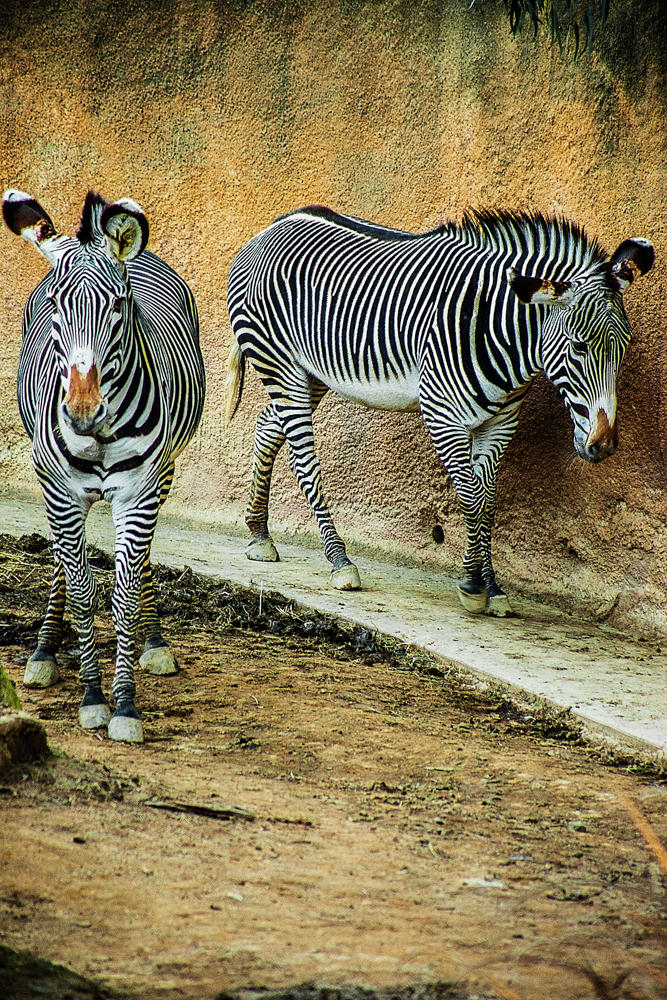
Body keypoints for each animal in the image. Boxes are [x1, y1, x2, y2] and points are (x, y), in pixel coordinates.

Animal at [3, 189, 205, 743]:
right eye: (57, 304)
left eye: (117, 304)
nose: (81, 410)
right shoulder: (60, 493)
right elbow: (82, 591)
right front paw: (92, 697)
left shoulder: (139, 493)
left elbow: (124, 593)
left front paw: (125, 704)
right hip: (54, 484)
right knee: (60, 564)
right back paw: (44, 651)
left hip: (166, 472)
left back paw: (154, 643)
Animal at [225, 205, 653, 616]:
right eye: (579, 346)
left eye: (626, 346)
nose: (603, 446)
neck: (500, 329)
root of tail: (270, 229)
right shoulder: (442, 415)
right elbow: (472, 498)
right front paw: (472, 585)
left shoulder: (500, 423)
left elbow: (489, 502)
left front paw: (493, 588)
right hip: (281, 365)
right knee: (303, 458)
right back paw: (340, 561)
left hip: (311, 373)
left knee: (267, 427)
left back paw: (259, 534)